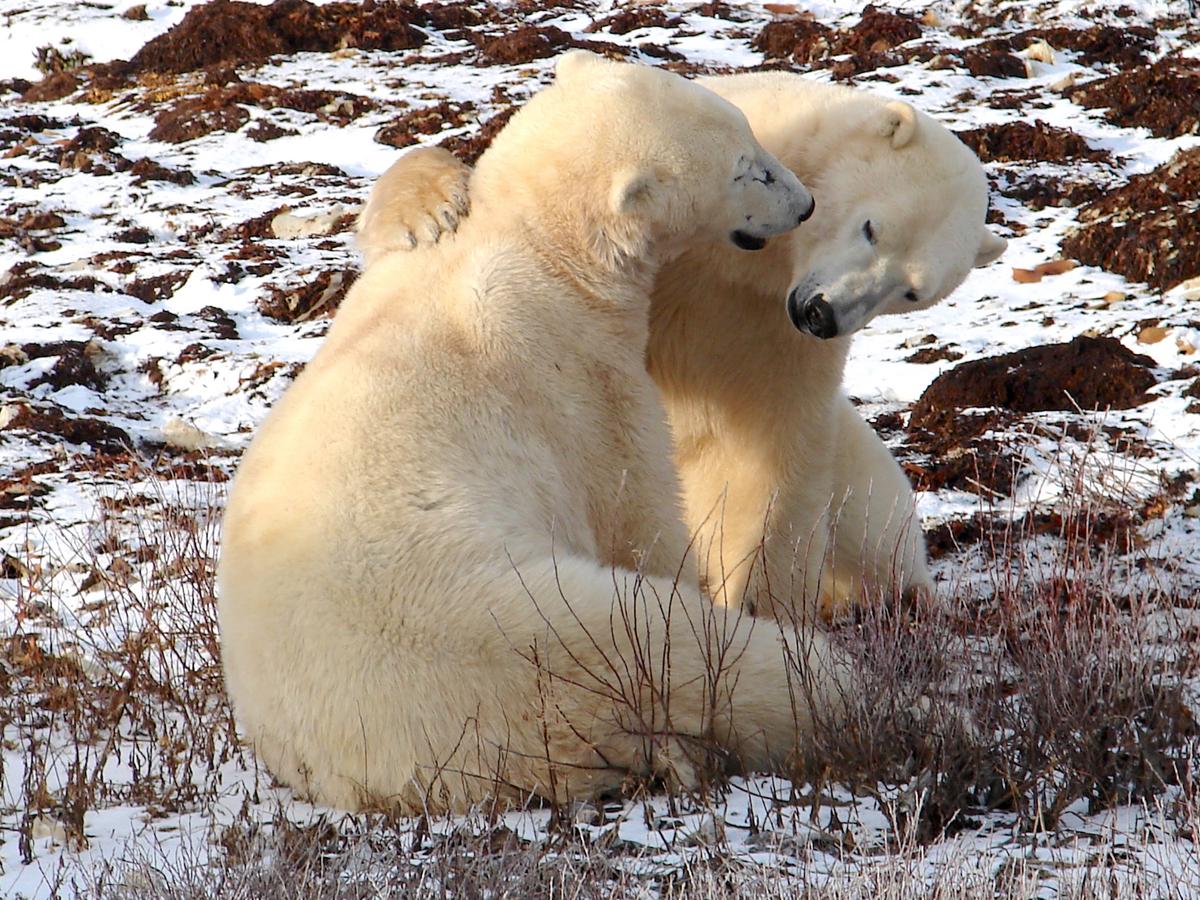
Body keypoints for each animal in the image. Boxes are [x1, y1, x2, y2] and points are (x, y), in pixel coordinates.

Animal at [217, 52, 846, 816]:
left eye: (752, 135)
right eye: (746, 168)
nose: (804, 204)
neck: (540, 245)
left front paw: (434, 202)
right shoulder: (585, 377)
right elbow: (638, 511)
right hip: (540, 618)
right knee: (698, 649)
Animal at [357, 71, 1007, 623]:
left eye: (912, 291)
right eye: (872, 227)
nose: (822, 313)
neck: (748, 269)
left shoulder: (774, 338)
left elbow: (776, 449)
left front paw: (756, 602)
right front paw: (429, 212)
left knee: (871, 522)